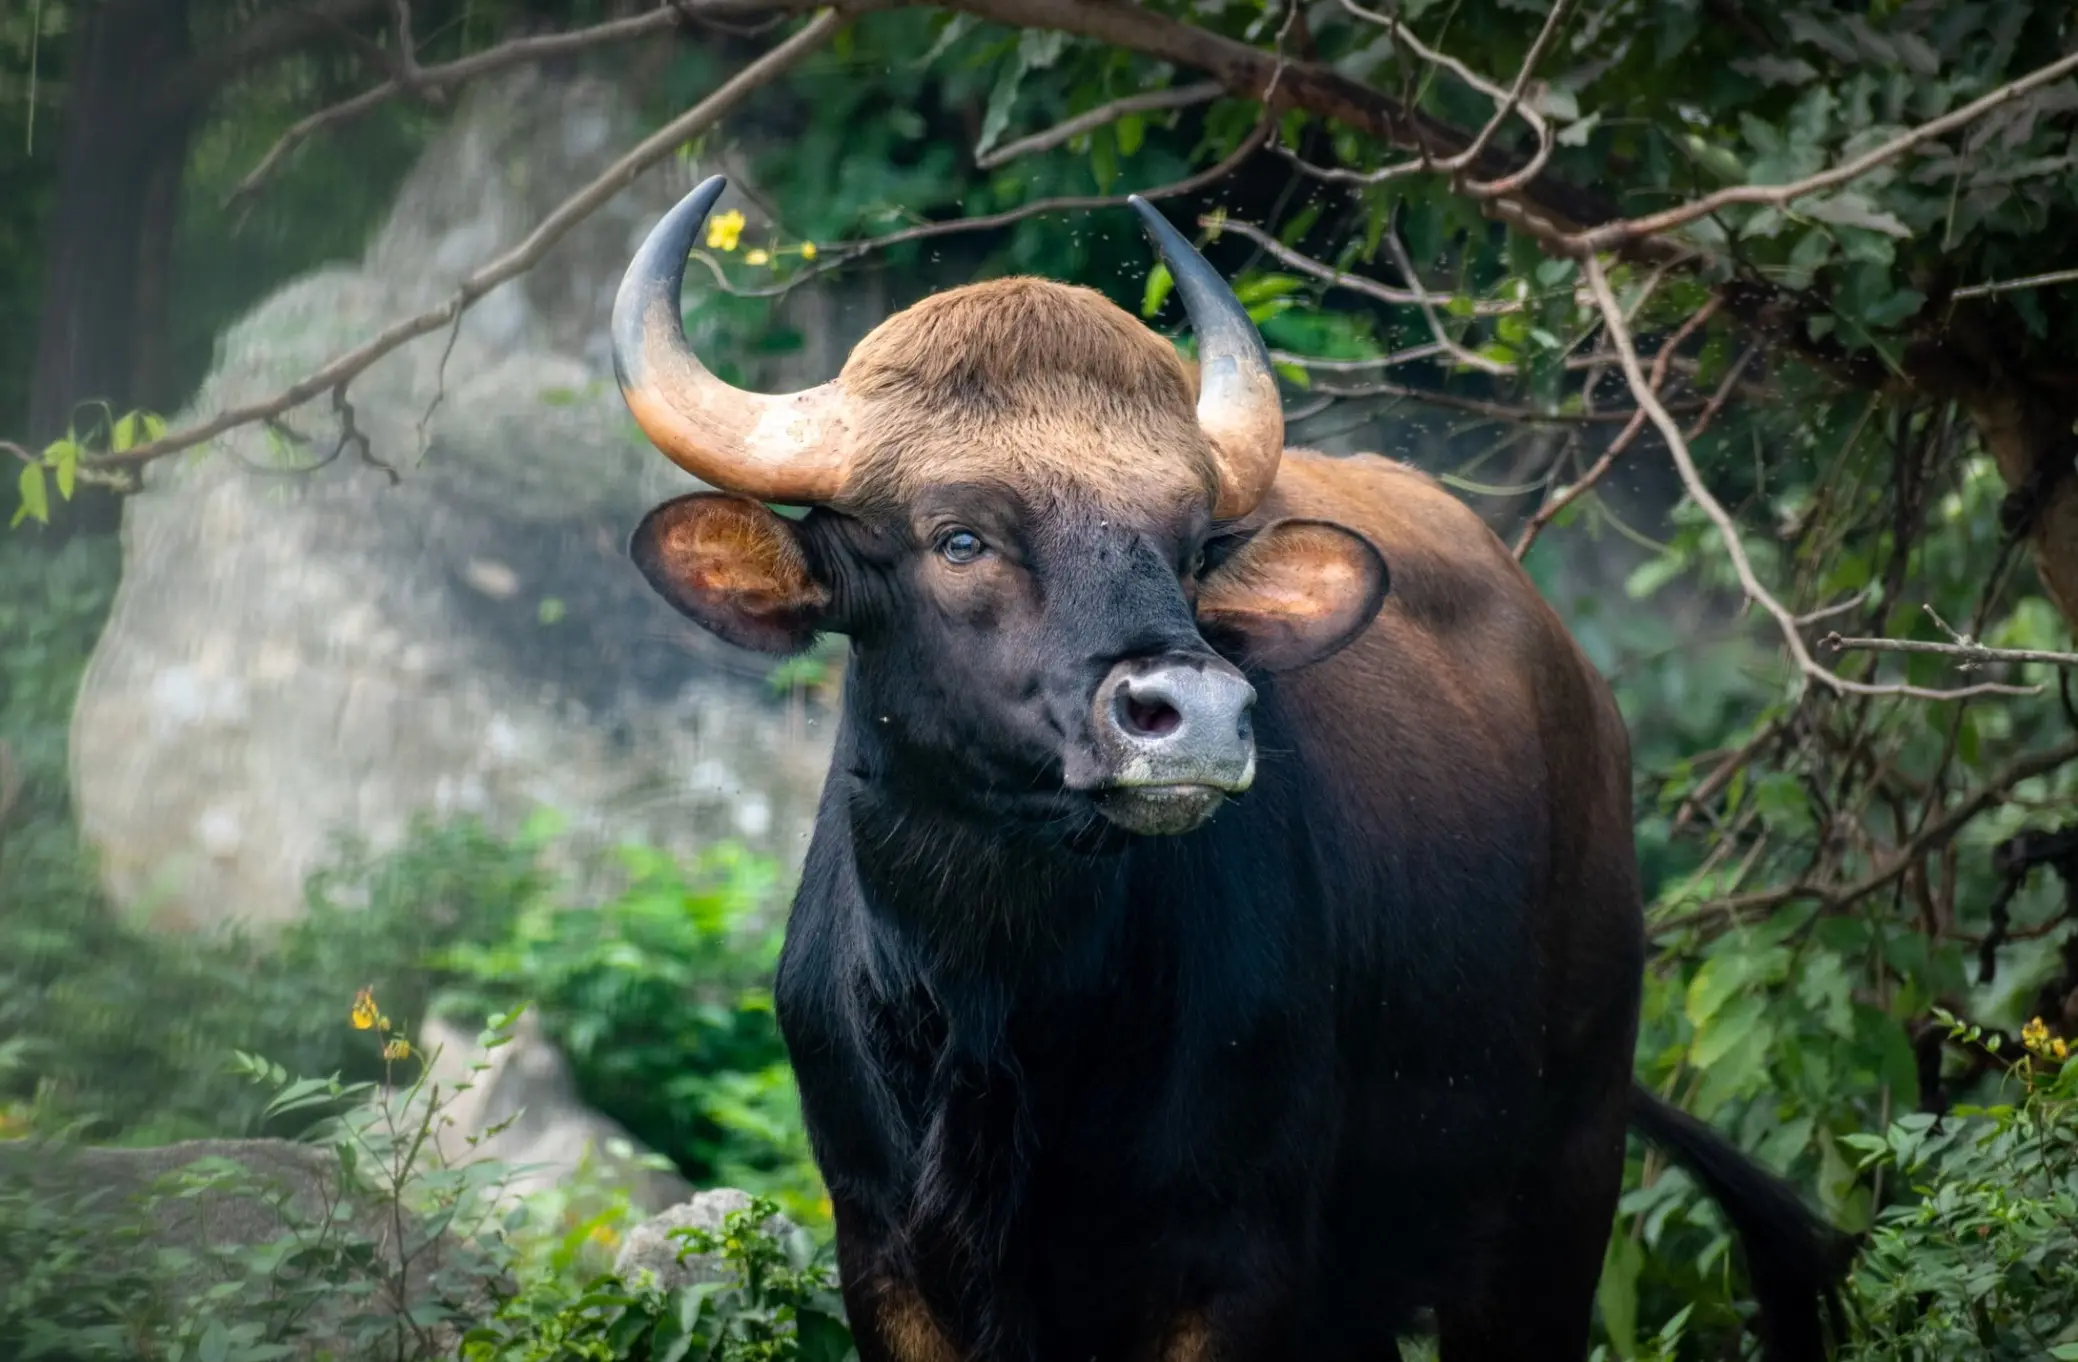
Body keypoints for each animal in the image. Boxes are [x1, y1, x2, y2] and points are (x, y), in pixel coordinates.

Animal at [611, 174, 1854, 1362]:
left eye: (1184, 545)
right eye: (958, 536)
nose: (1195, 713)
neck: (1002, 1015)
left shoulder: (1234, 1261)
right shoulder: (884, 1258)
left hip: (1556, 1191)